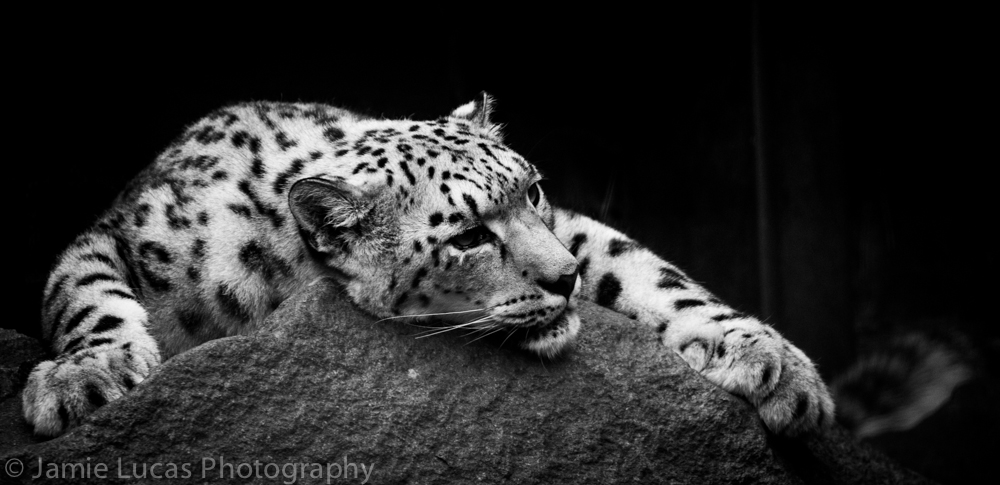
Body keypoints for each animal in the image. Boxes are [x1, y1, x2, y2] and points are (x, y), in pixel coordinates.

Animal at [22, 93, 834, 438]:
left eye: (532, 190)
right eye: (469, 235)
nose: (564, 278)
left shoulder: (571, 226)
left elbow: (645, 268)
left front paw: (779, 369)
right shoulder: (118, 233)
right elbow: (81, 291)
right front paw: (84, 378)